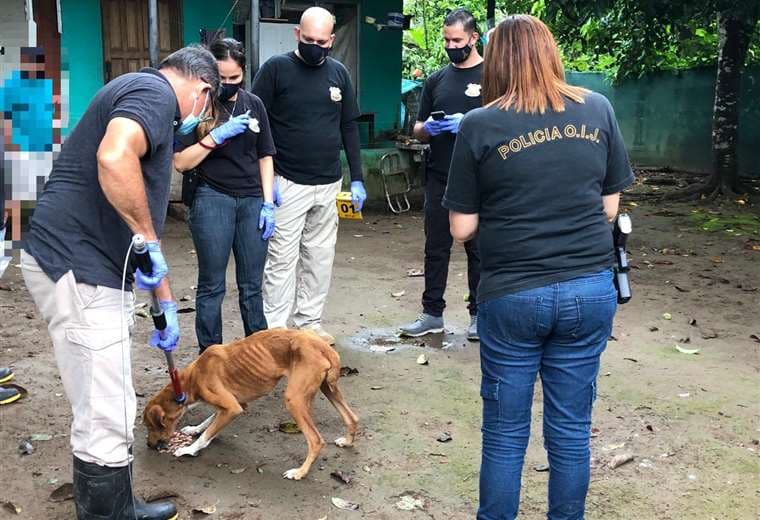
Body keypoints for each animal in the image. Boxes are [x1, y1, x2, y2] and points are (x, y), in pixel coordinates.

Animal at [143, 328, 359, 480]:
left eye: (149, 426)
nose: (148, 445)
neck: (188, 382)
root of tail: (324, 347)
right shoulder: (237, 404)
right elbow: (209, 421)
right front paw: (194, 429)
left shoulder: (232, 408)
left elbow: (207, 435)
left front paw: (189, 449)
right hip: (328, 389)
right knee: (352, 417)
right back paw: (347, 441)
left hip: (294, 400)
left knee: (316, 440)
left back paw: (299, 472)